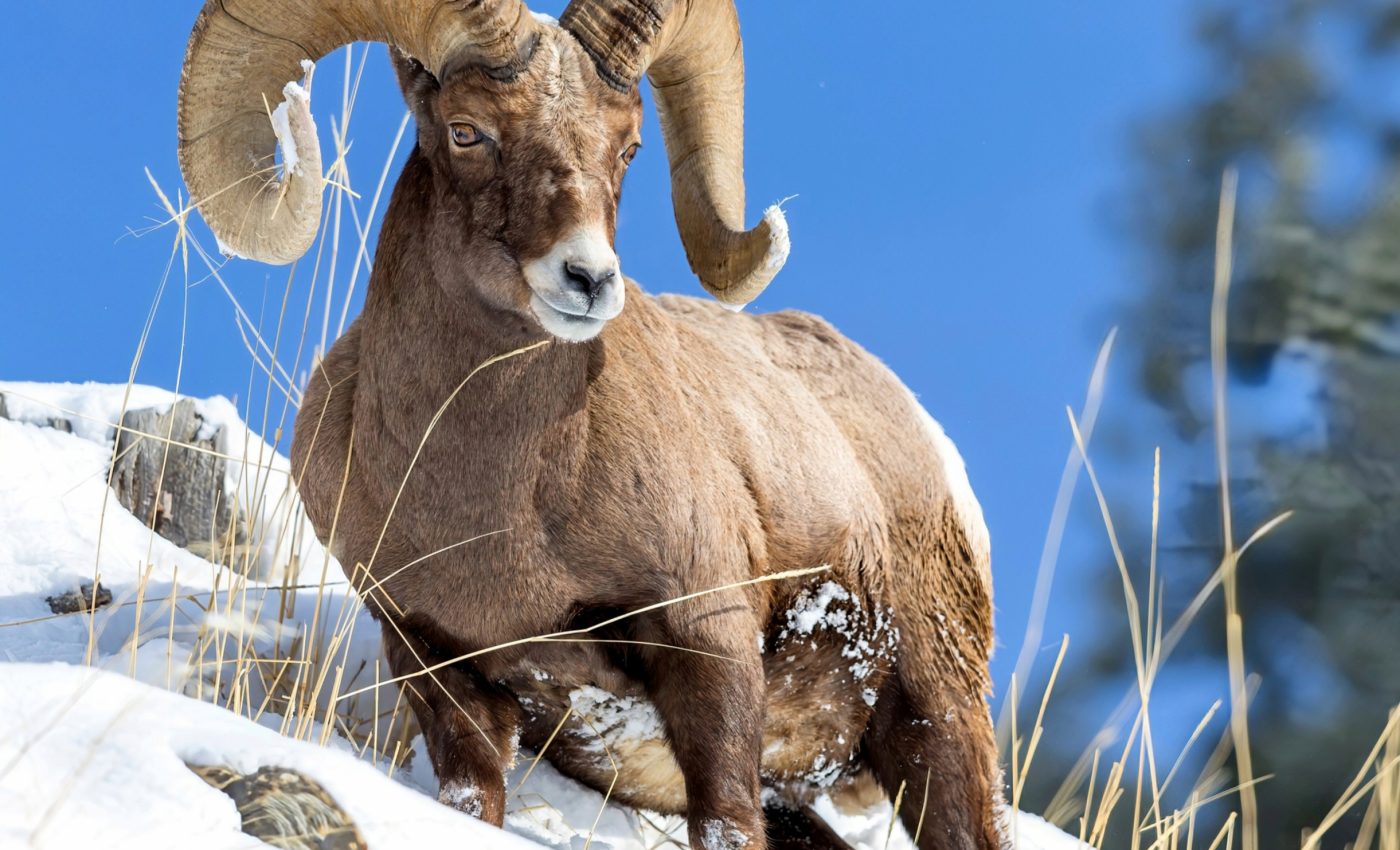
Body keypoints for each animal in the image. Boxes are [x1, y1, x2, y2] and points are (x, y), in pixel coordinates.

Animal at [176, 1, 1006, 848]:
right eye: (466, 130)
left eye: (628, 145)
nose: (589, 279)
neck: (498, 515)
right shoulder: (437, 668)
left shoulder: (708, 649)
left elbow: (725, 819)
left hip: (935, 718)